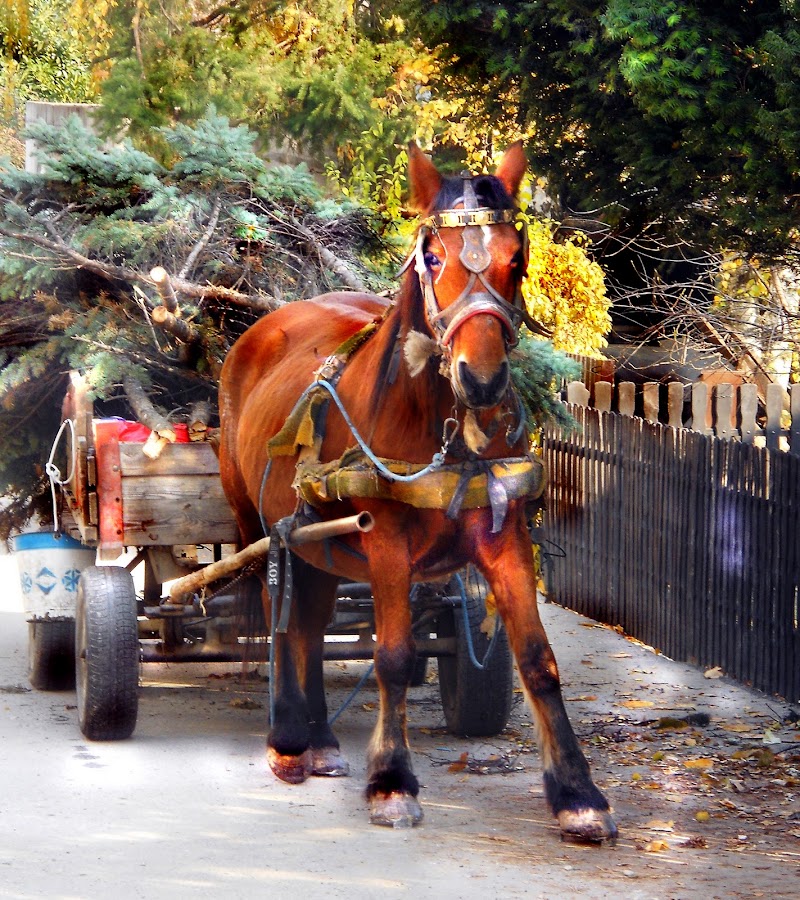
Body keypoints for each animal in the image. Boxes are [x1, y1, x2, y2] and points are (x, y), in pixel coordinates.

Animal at [218, 142, 617, 842]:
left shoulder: (505, 532)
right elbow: (396, 656)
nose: (481, 379)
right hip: (260, 528)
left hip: (317, 537)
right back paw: (289, 739)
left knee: (311, 624)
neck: (443, 425)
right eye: (433, 258)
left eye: (518, 258)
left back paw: (319, 738)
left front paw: (576, 792)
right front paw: (392, 780)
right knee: (280, 618)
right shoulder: (385, 541)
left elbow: (538, 659)